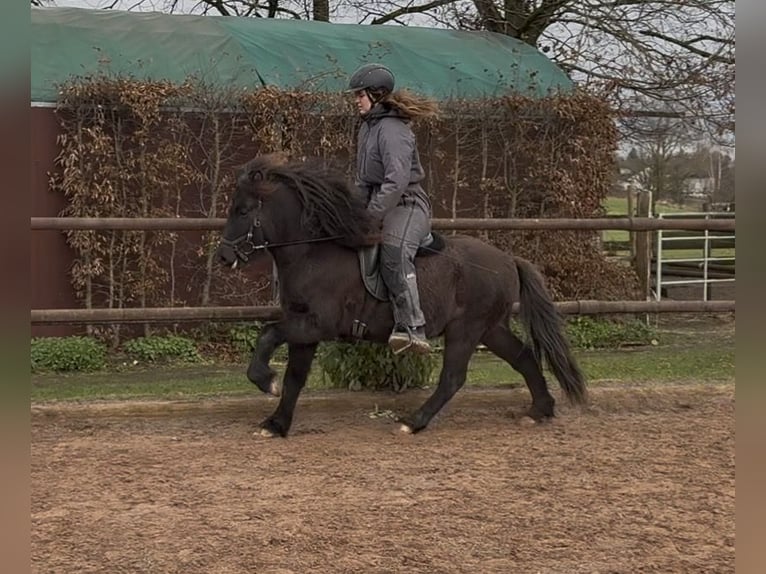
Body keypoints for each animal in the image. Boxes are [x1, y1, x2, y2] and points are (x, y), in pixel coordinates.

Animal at [216, 155, 587, 437]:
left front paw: (265, 382)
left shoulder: (317, 324)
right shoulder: (304, 327)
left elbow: (268, 335)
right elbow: (294, 378)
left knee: (453, 378)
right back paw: (539, 410)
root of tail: (509, 259)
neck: (312, 254)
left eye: (244, 210)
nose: (224, 256)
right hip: (490, 329)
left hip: (466, 329)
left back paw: (413, 422)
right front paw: (275, 424)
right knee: (523, 357)